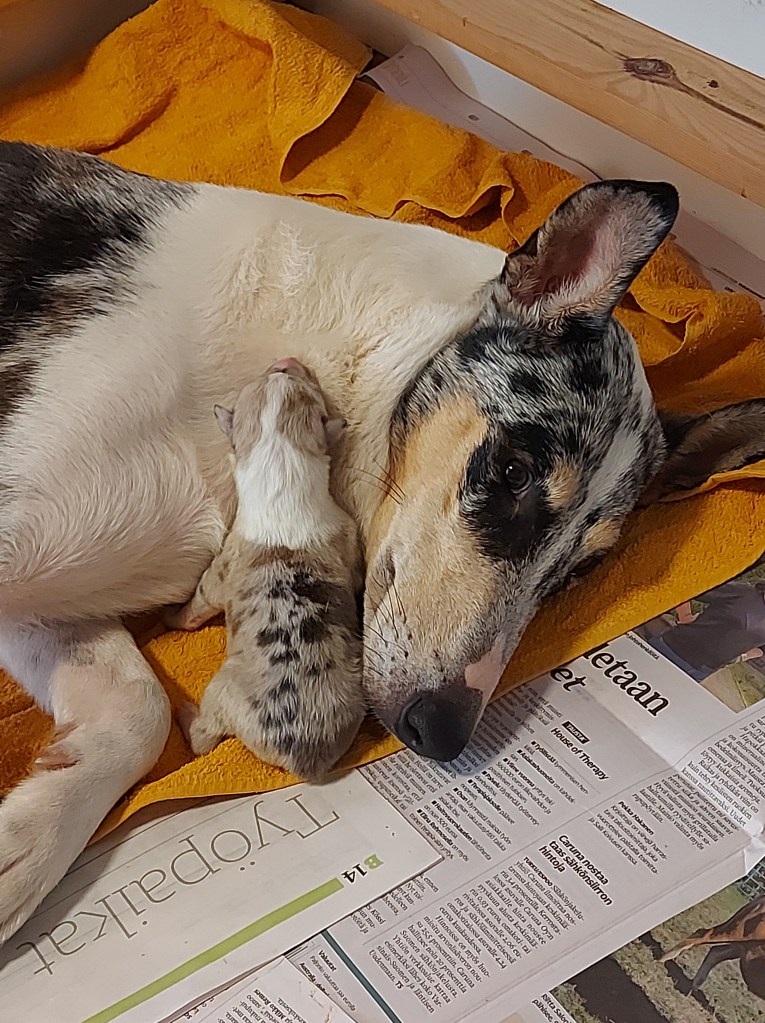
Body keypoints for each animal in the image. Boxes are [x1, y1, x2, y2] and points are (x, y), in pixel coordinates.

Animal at [168, 357, 364, 778]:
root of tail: (302, 755)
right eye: (272, 377)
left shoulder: (219, 569)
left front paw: (170, 619)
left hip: (223, 690)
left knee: (203, 737)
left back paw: (184, 711)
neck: (281, 465)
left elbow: (197, 604)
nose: (287, 362)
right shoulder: (349, 535)